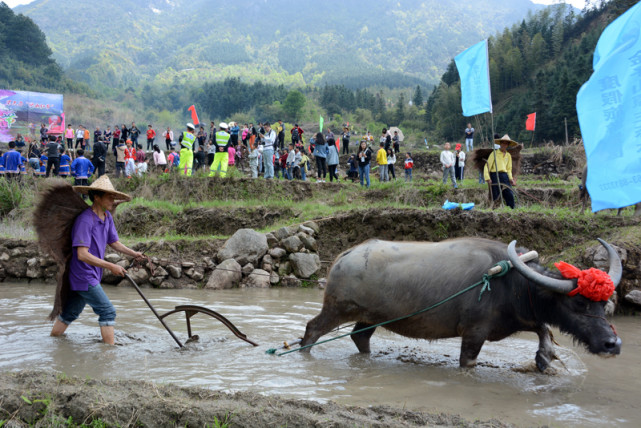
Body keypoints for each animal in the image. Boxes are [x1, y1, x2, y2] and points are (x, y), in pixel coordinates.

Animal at [302, 237, 620, 372]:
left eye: (604, 303)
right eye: (579, 302)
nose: (612, 344)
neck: (512, 284)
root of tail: (344, 256)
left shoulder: (521, 318)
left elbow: (544, 329)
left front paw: (544, 358)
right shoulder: (474, 333)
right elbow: (468, 362)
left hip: (371, 317)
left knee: (360, 337)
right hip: (337, 309)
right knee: (312, 329)